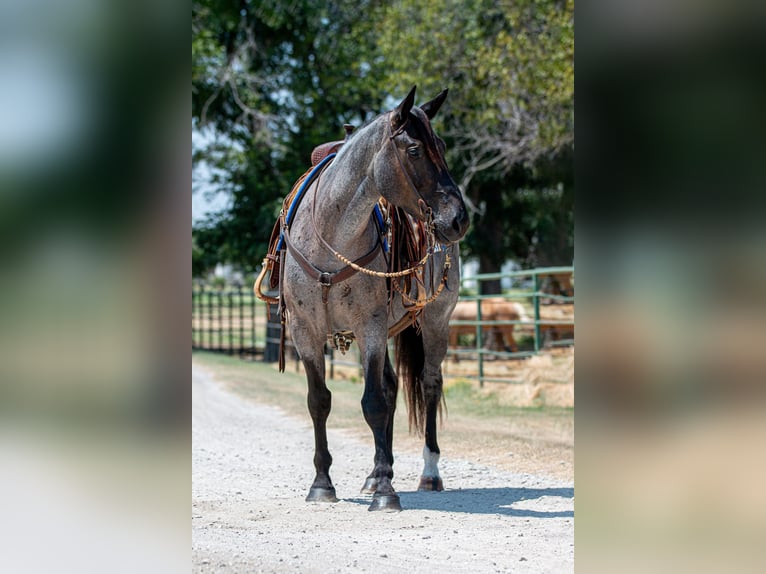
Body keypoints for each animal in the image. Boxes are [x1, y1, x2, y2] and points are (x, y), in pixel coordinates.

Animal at [280, 86, 472, 512]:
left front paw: (386, 491)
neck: (330, 238)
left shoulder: (369, 325)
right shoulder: (305, 331)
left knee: (429, 384)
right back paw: (373, 473)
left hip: (435, 322)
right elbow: (319, 401)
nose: (459, 219)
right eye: (414, 149)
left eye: (442, 145)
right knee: (392, 384)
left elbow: (373, 403)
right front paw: (323, 484)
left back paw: (428, 473)